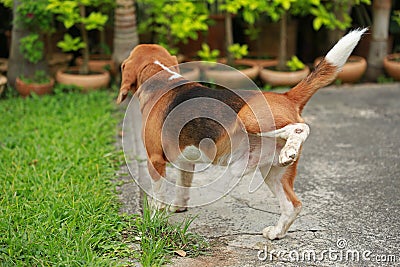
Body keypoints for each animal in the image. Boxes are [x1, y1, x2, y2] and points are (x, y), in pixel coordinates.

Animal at [117, 29, 368, 241]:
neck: (161, 78)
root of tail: (286, 96)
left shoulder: (155, 159)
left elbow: (158, 193)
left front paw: (155, 216)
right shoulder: (186, 161)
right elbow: (183, 185)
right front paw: (178, 206)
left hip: (249, 118)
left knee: (300, 128)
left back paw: (291, 147)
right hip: (273, 173)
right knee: (293, 205)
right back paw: (276, 232)